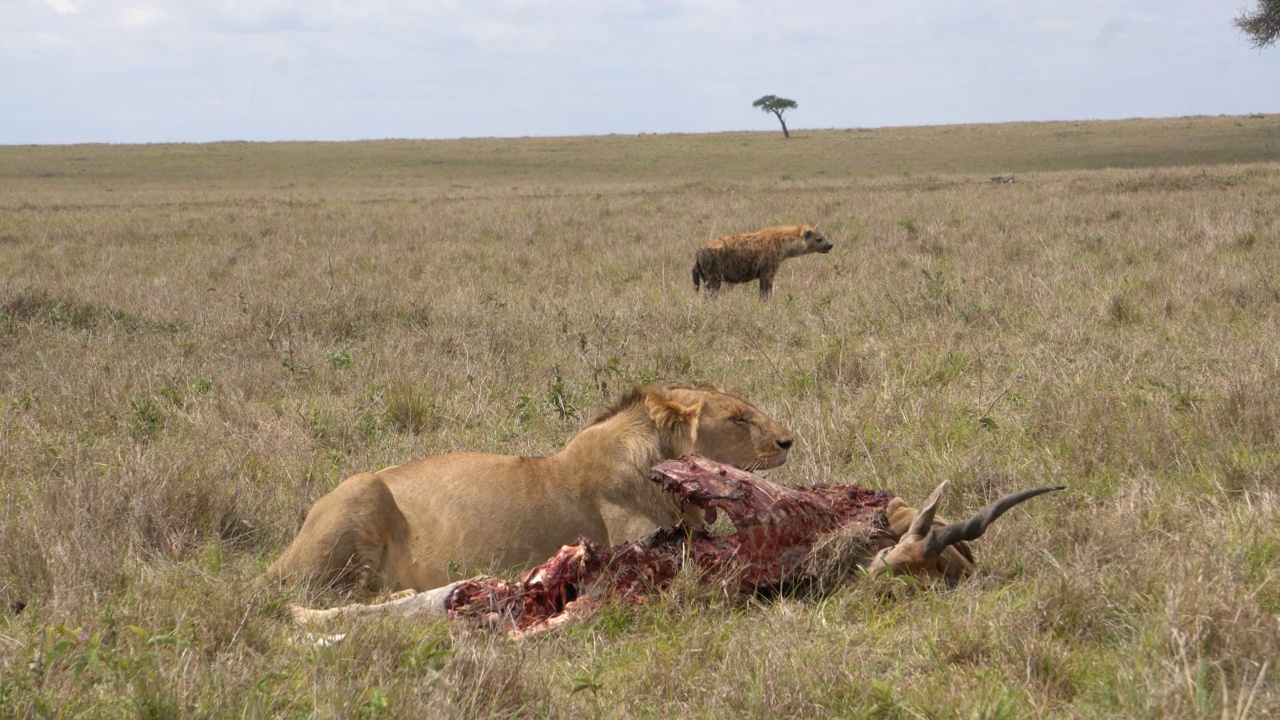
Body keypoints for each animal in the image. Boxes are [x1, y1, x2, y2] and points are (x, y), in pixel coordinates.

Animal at [696, 221, 834, 294]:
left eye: (824, 236)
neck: (784, 244)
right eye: (819, 239)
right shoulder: (768, 269)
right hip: (713, 274)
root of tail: (699, 252)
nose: (831, 244)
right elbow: (766, 291)